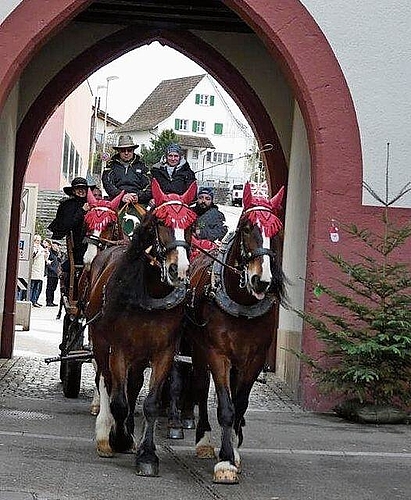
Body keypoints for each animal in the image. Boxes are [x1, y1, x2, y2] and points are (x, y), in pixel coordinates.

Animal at [86, 178, 197, 474]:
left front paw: (147, 454)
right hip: (101, 344)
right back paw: (106, 433)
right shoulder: (119, 349)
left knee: (132, 385)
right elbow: (119, 401)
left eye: (191, 225)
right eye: (161, 222)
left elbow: (150, 403)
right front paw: (119, 438)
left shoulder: (164, 353)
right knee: (106, 381)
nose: (179, 269)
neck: (149, 293)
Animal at [186, 182, 286, 482]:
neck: (242, 303)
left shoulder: (254, 359)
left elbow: (240, 403)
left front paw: (234, 451)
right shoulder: (217, 354)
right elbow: (226, 407)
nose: (262, 280)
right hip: (198, 351)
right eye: (246, 227)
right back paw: (204, 440)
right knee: (199, 387)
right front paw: (225, 461)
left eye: (277, 231)